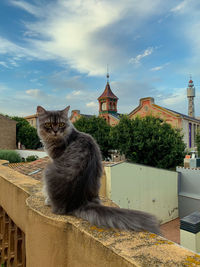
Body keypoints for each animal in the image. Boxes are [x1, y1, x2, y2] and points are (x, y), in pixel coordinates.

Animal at [36, 105, 160, 236]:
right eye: (48, 124)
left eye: (61, 124)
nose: (55, 131)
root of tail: (78, 202)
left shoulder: (54, 157)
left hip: (48, 170)